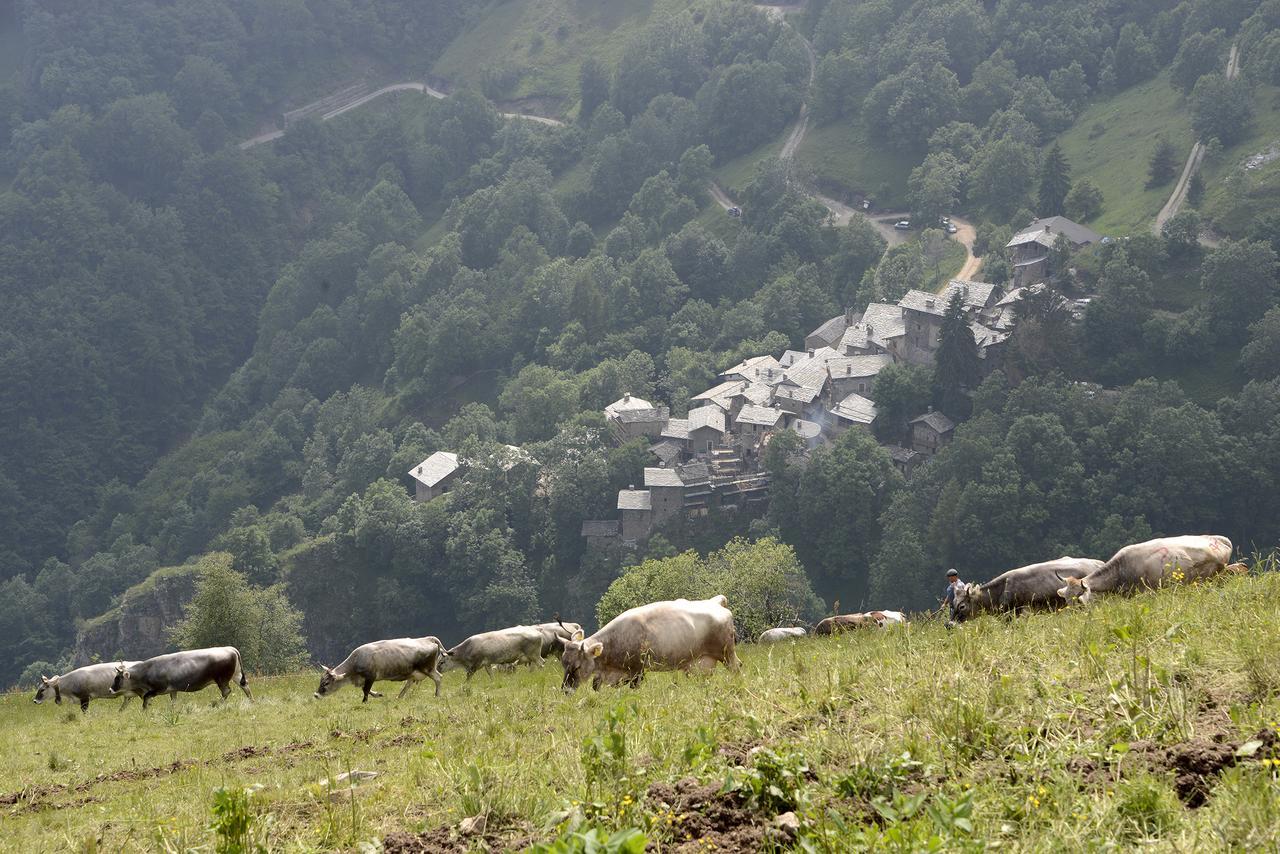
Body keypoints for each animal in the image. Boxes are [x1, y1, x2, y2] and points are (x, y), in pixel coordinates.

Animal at [111, 647, 250, 706]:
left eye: (117, 678)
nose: (110, 689)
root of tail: (230, 648)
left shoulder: (159, 689)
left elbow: (146, 698)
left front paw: (145, 710)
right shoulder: (173, 690)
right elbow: (173, 702)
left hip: (221, 679)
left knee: (226, 691)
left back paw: (216, 704)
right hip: (236, 675)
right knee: (245, 686)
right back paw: (251, 702)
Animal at [314, 637, 445, 706]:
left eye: (326, 683)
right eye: (320, 680)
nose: (316, 695)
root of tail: (427, 639)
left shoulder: (370, 676)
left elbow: (365, 690)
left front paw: (364, 702)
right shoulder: (362, 679)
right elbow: (366, 689)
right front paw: (378, 694)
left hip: (428, 669)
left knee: (438, 678)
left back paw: (437, 695)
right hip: (413, 672)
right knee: (408, 684)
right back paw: (399, 697)